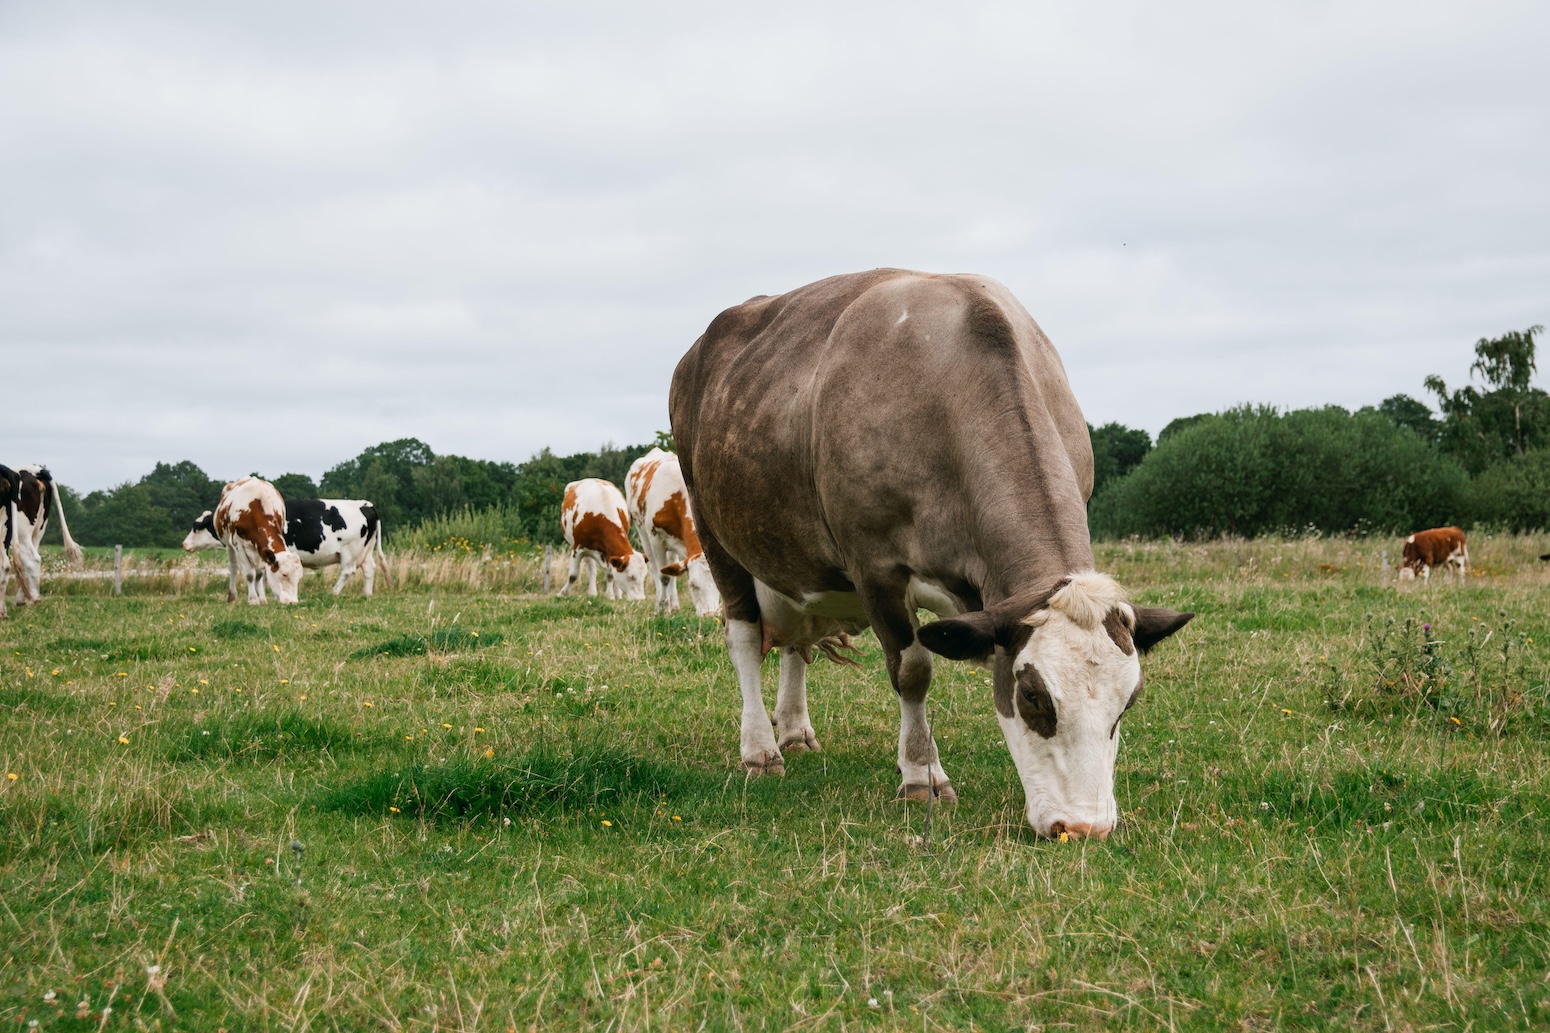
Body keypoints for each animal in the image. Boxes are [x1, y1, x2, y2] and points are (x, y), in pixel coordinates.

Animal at [182, 496, 387, 595]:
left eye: (195, 526)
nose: (184, 544)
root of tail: (365, 504)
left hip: (350, 550)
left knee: (347, 571)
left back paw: (334, 592)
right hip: (365, 551)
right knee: (369, 569)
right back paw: (367, 594)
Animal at [626, 446, 722, 614]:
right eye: (692, 585)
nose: (709, 614)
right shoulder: (656, 538)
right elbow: (663, 576)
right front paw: (663, 609)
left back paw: (675, 605)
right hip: (643, 534)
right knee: (656, 568)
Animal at [672, 266, 1190, 837]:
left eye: (1128, 703)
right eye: (1033, 696)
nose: (1083, 828)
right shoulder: (875, 567)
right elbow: (913, 671)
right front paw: (922, 776)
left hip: (790, 553)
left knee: (795, 642)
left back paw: (794, 731)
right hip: (714, 529)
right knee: (743, 637)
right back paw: (761, 750)